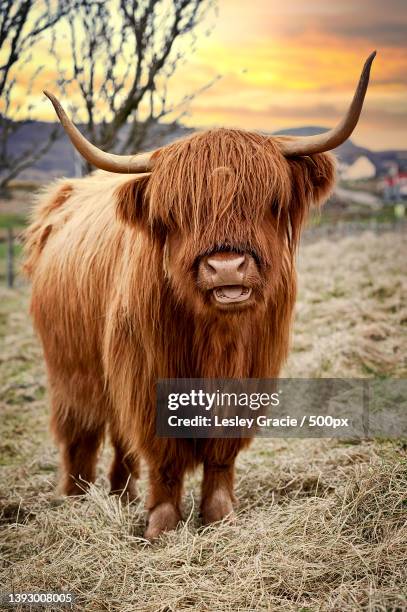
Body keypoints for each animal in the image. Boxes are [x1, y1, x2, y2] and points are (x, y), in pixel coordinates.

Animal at [24, 53, 376, 540]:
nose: (226, 267)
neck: (216, 337)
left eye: (267, 201)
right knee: (81, 432)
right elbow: (164, 457)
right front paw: (161, 525)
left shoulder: (249, 374)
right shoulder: (146, 372)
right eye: (177, 212)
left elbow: (220, 455)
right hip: (71, 366)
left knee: (118, 437)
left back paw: (122, 495)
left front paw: (219, 516)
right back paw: (76, 500)